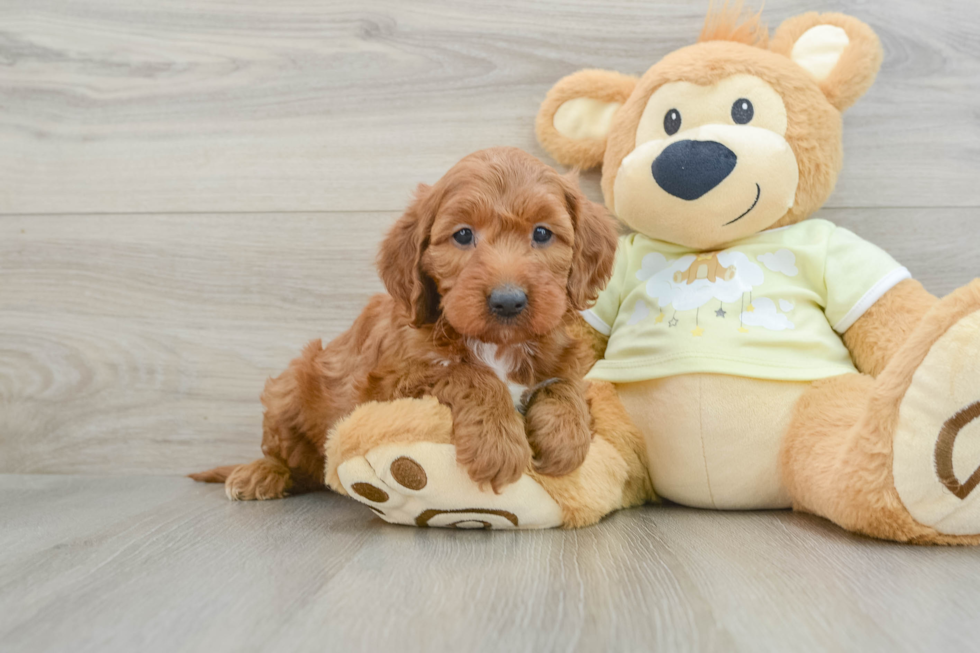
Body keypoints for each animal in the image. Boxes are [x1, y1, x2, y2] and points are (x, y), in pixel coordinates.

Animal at [191, 145, 616, 496]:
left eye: (542, 233)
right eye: (463, 235)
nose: (508, 301)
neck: (496, 344)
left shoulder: (560, 354)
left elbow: (565, 383)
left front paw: (567, 437)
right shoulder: (390, 384)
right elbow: (468, 374)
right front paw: (498, 445)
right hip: (290, 386)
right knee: (290, 459)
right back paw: (261, 473)